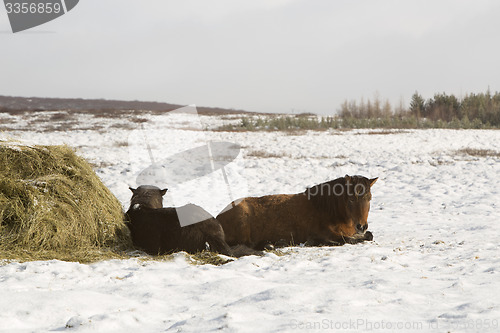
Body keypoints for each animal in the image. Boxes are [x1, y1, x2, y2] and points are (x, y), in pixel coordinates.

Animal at [217, 174, 376, 249]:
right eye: (351, 199)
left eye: (369, 198)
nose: (361, 226)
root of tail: (218, 217)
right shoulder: (325, 232)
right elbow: (348, 240)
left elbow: (368, 235)